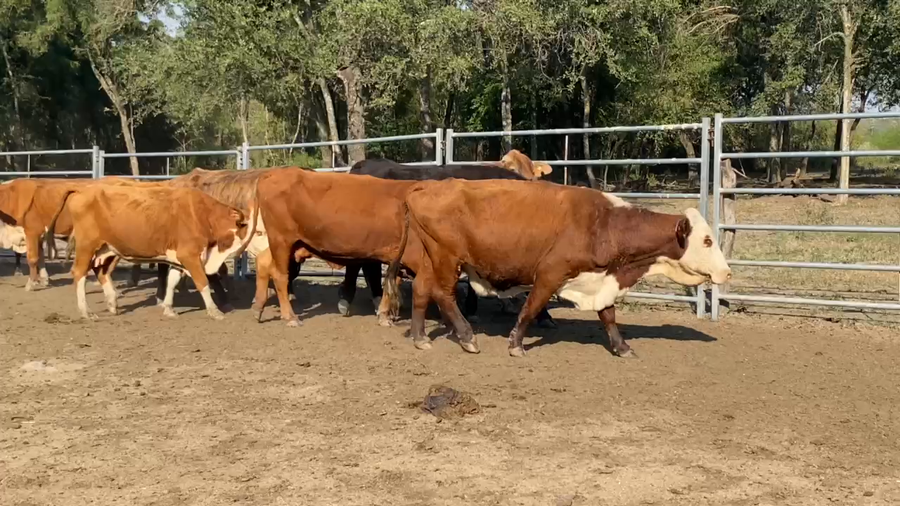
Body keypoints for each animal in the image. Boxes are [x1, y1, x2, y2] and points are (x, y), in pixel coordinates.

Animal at [50, 184, 257, 320]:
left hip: (107, 249)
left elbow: (172, 281)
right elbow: (202, 282)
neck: (203, 216)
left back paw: (112, 303)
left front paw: (168, 308)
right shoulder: (189, 255)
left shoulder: (178, 258)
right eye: (257, 231)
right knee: (79, 273)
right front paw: (214, 311)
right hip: (87, 246)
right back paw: (86, 311)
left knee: (101, 272)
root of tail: (81, 191)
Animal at [397, 179, 731, 357]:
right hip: (447, 257)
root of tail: (425, 187)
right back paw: (467, 337)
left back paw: (420, 337)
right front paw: (516, 344)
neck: (603, 224)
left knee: (422, 290)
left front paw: (622, 347)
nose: (727, 272)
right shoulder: (550, 274)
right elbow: (531, 308)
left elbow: (608, 315)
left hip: (430, 257)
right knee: (444, 294)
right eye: (706, 240)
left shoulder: (602, 278)